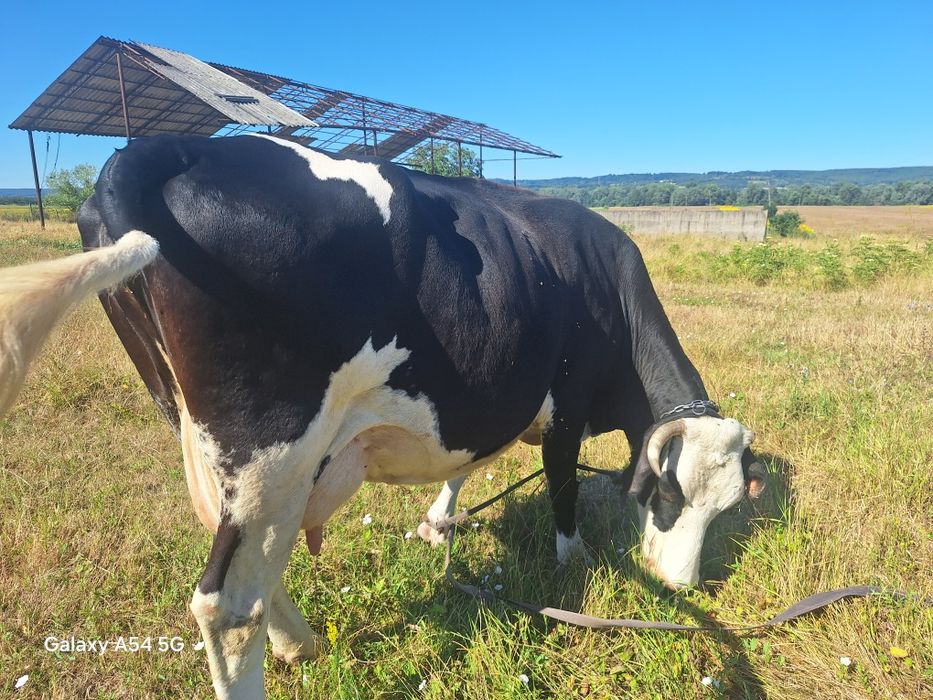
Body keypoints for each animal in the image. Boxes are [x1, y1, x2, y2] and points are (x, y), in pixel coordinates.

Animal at [0, 133, 766, 698]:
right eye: (664, 496)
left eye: (727, 508)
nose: (681, 587)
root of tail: (171, 147)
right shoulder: (566, 403)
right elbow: (563, 491)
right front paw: (568, 569)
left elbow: (465, 464)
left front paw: (438, 522)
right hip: (274, 440)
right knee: (229, 606)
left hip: (199, 430)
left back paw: (298, 642)